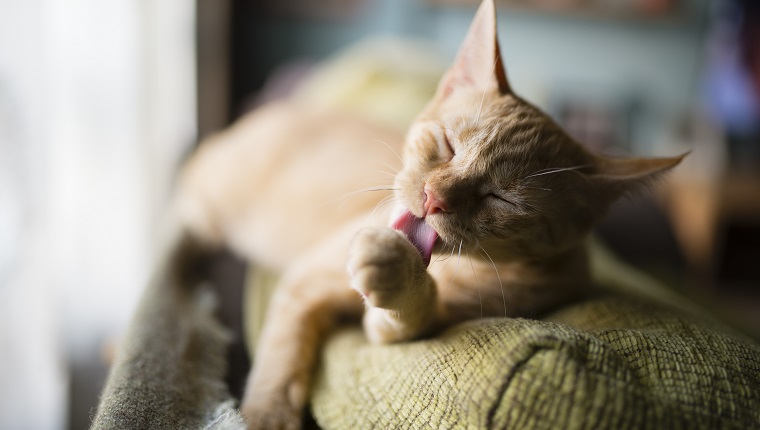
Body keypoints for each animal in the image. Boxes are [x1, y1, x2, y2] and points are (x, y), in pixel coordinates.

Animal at [174, 1, 688, 428]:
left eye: (502, 199)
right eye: (447, 145)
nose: (433, 197)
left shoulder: (403, 325)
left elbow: (410, 310)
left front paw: (398, 270)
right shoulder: (306, 280)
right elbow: (280, 360)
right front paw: (267, 413)